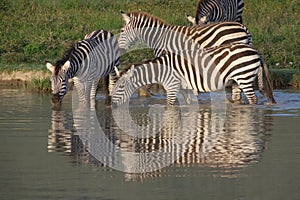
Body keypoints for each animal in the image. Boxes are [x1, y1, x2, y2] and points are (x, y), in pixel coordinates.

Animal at [112, 43, 276, 106]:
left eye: (120, 88)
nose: (111, 105)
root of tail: (255, 51)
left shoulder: (172, 87)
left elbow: (169, 106)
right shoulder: (184, 88)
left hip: (244, 77)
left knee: (253, 99)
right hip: (237, 81)